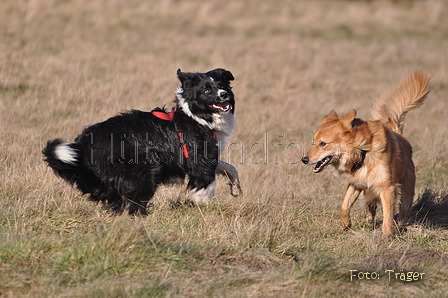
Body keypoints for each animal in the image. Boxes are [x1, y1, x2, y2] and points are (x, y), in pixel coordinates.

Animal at [43, 68, 242, 214]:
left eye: (222, 85)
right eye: (207, 90)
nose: (224, 95)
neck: (195, 116)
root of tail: (81, 146)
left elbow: (229, 167)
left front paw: (235, 187)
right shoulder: (200, 161)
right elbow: (206, 185)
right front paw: (204, 205)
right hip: (145, 166)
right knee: (134, 204)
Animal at [300, 71, 430, 234]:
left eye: (323, 144)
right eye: (313, 141)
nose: (304, 159)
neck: (363, 152)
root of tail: (399, 134)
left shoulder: (387, 188)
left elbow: (388, 215)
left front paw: (388, 234)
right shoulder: (356, 184)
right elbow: (344, 205)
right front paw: (346, 224)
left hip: (407, 193)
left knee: (402, 212)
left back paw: (399, 225)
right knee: (371, 206)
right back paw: (369, 220)